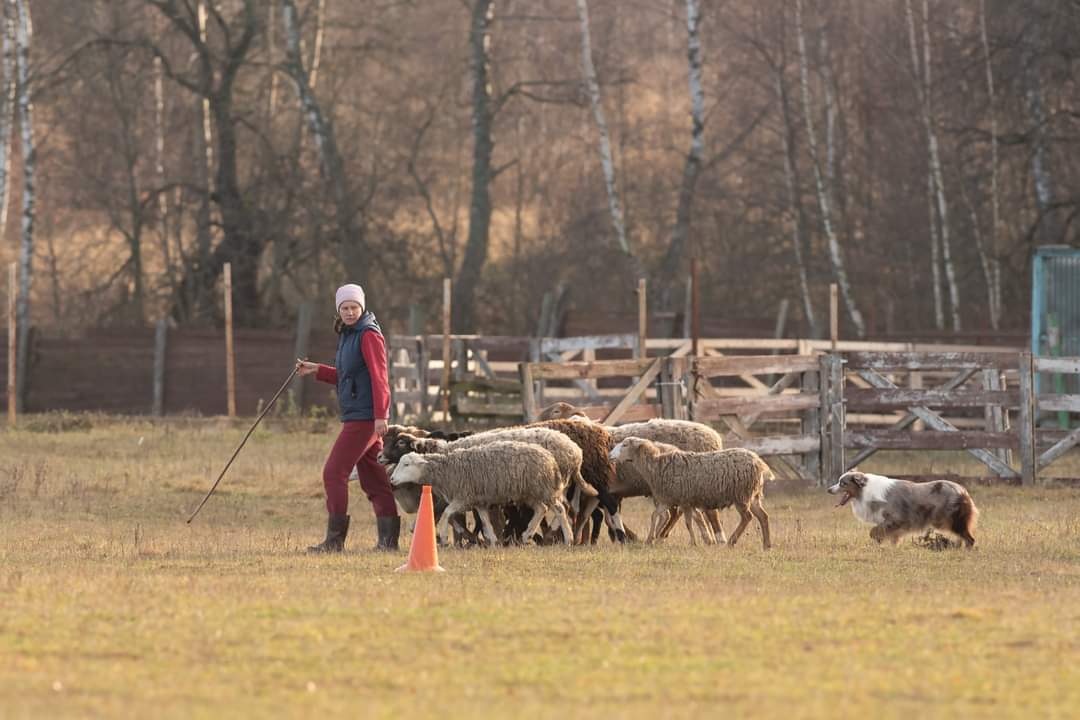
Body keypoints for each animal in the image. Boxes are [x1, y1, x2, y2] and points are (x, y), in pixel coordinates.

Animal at [388, 440, 574, 546]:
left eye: (406, 465)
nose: (391, 479)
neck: (447, 470)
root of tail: (550, 458)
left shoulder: (464, 497)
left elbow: (447, 513)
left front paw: (443, 537)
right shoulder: (478, 500)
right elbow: (484, 519)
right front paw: (492, 539)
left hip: (543, 488)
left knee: (559, 509)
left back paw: (568, 539)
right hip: (530, 492)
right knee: (541, 509)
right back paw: (527, 534)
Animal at [609, 436, 777, 548]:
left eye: (624, 445)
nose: (610, 455)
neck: (656, 465)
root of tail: (759, 462)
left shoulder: (684, 500)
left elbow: (688, 522)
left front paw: (693, 542)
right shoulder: (670, 499)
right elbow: (655, 515)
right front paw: (651, 539)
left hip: (741, 495)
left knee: (747, 517)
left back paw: (731, 541)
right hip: (753, 495)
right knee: (763, 517)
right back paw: (767, 545)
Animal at [825, 472, 980, 546]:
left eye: (842, 483)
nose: (828, 489)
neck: (865, 490)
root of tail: (963, 490)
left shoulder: (897, 519)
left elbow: (874, 531)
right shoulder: (892, 524)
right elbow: (889, 536)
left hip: (953, 520)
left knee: (970, 539)